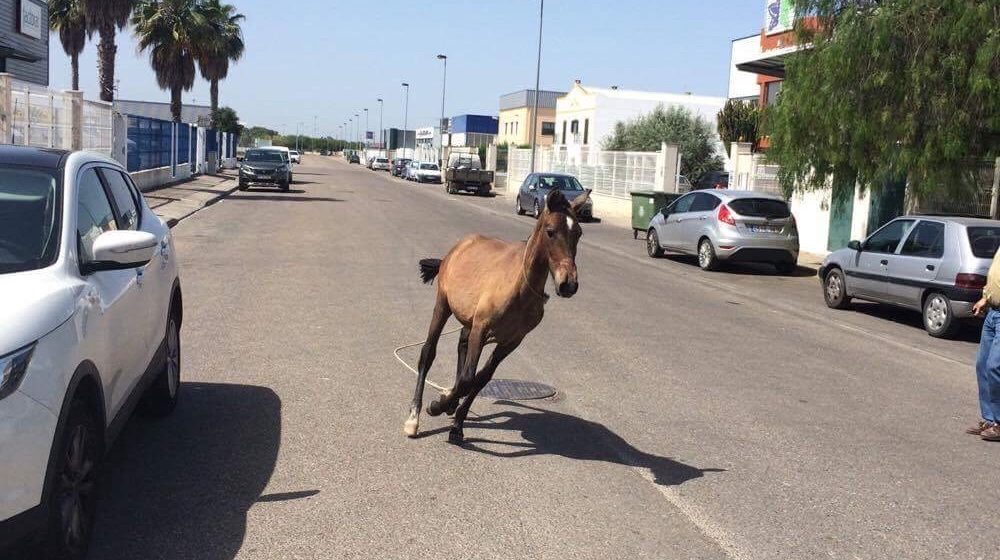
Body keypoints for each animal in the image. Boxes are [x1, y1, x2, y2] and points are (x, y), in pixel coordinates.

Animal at [403, 188, 591, 444]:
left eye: (578, 233)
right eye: (551, 231)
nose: (568, 284)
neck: (519, 288)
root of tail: (460, 246)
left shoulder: (511, 341)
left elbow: (481, 378)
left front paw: (457, 424)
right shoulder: (482, 329)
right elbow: (468, 378)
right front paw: (437, 406)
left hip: (469, 320)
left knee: (462, 343)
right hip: (443, 305)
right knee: (428, 353)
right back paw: (414, 417)